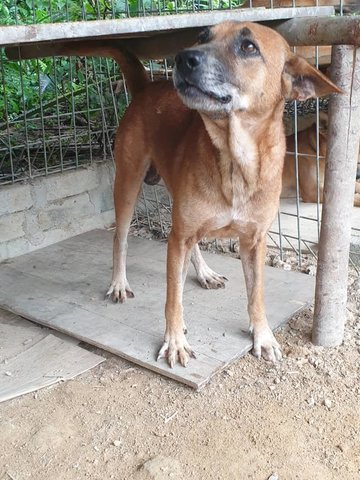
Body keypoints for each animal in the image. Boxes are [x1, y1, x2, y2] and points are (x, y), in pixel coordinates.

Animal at [62, 21, 340, 368]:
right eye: (202, 36)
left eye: (249, 46)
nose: (183, 58)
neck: (235, 160)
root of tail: (147, 87)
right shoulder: (178, 236)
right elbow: (172, 298)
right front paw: (175, 340)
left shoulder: (254, 241)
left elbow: (257, 295)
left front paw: (262, 336)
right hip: (128, 184)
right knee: (121, 238)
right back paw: (119, 283)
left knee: (188, 245)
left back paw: (204, 273)